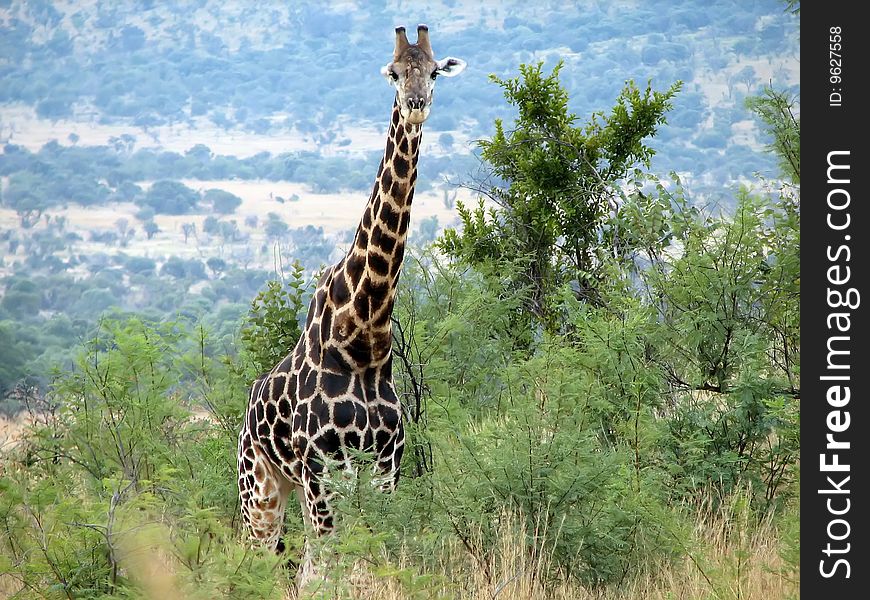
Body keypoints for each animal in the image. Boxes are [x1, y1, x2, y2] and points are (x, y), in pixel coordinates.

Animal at [238, 25, 466, 584]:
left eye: (434, 72)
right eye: (394, 72)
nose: (415, 105)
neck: (364, 330)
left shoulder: (386, 464)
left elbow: (375, 553)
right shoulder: (321, 465)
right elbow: (325, 568)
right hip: (261, 488)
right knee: (261, 559)